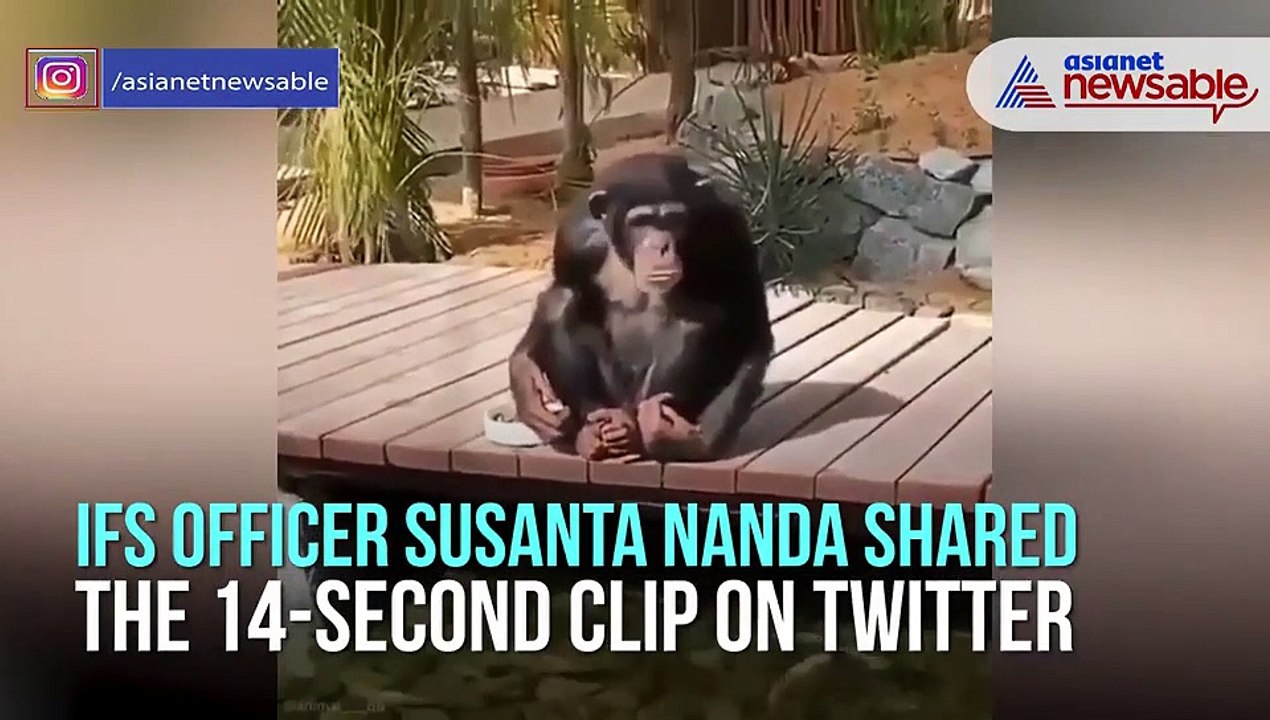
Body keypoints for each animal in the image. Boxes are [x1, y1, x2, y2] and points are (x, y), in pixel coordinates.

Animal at [508, 152, 773, 463]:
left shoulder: (728, 230)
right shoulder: (572, 237)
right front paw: (528, 389)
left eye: (674, 219)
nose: (661, 246)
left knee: (698, 316)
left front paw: (693, 442)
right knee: (562, 302)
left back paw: (649, 428)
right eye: (640, 221)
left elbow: (750, 316)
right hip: (616, 396)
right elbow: (554, 293)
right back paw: (597, 430)